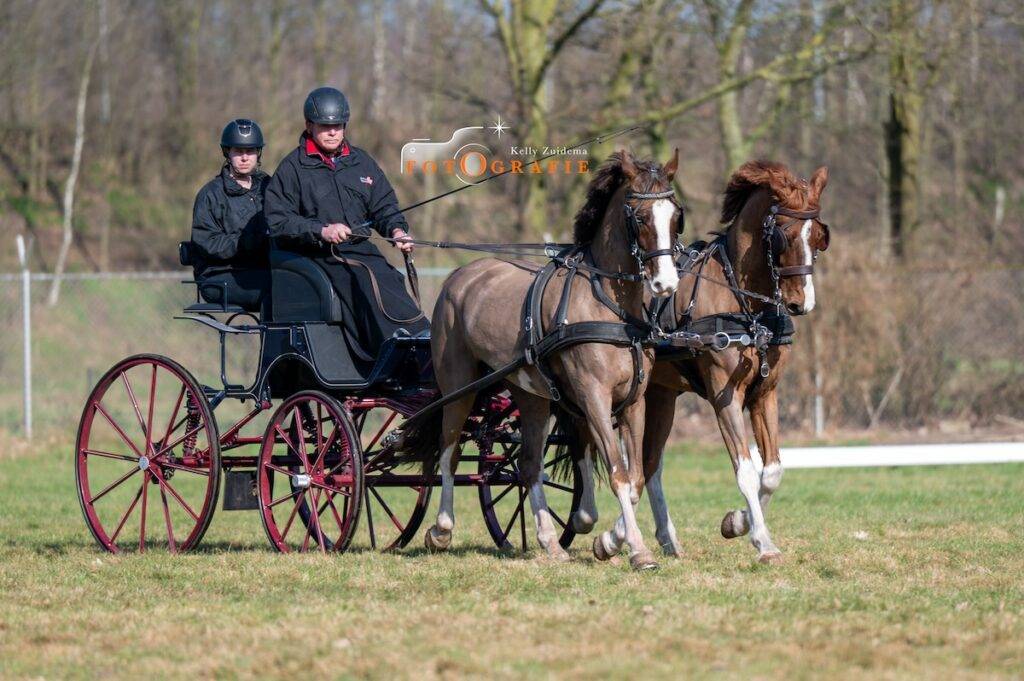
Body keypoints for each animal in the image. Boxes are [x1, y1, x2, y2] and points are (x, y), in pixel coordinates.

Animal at [413, 150, 684, 569]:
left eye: (675, 217)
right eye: (639, 218)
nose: (666, 284)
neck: (609, 305)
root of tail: (460, 276)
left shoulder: (634, 401)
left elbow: (636, 476)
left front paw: (607, 541)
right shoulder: (593, 396)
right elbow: (619, 474)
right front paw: (638, 551)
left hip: (532, 396)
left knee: (528, 466)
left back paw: (549, 541)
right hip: (458, 387)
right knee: (448, 453)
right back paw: (441, 530)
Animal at [593, 160, 831, 565]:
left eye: (818, 236)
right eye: (783, 235)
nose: (802, 303)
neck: (744, 303)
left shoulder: (765, 392)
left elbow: (772, 471)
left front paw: (738, 521)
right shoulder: (725, 394)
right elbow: (746, 470)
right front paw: (763, 542)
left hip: (660, 395)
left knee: (649, 466)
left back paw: (654, 537)